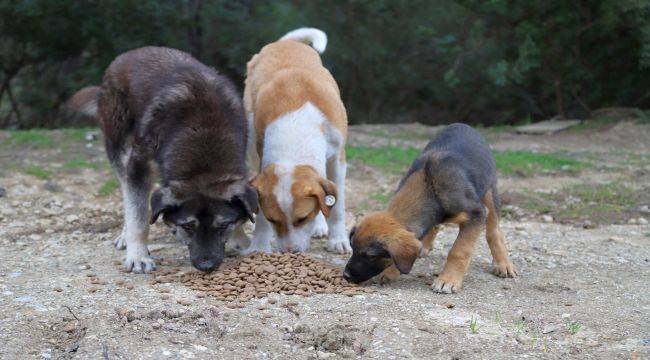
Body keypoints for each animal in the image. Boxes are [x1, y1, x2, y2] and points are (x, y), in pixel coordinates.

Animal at [97, 47, 256, 272]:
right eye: (188, 226)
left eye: (223, 225)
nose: (206, 266)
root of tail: (129, 54)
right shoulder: (138, 166)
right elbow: (138, 216)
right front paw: (138, 256)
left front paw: (240, 239)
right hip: (119, 147)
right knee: (127, 190)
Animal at [240, 27, 350, 253]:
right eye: (273, 220)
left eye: (303, 218)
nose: (290, 251)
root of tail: (283, 43)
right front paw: (259, 245)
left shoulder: (338, 159)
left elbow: (337, 205)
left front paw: (338, 239)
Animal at [342, 124, 512, 292]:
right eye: (352, 248)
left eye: (371, 256)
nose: (346, 276)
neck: (429, 189)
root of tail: (464, 125)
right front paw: (391, 272)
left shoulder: (475, 213)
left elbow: (459, 251)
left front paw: (448, 279)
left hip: (489, 192)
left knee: (494, 229)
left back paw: (503, 263)